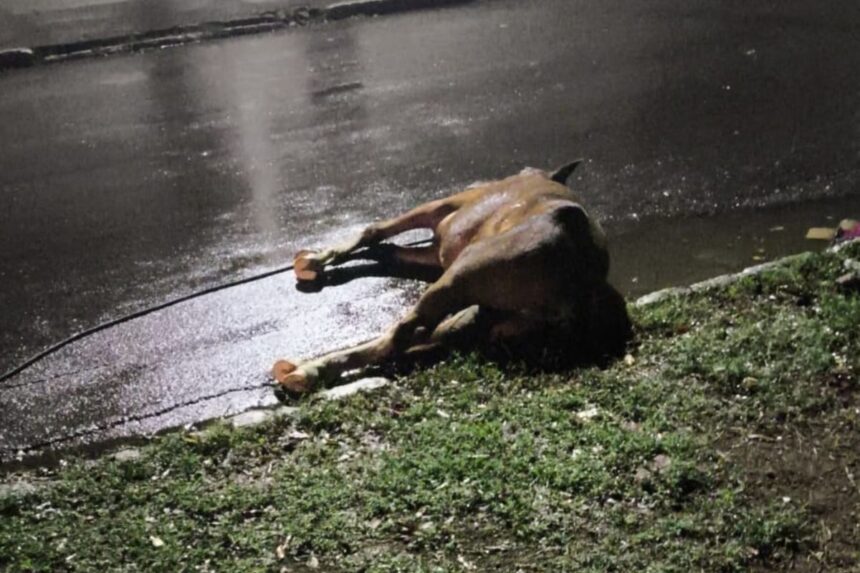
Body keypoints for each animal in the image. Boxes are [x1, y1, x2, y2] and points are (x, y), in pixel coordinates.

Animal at [274, 161, 632, 394]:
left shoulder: (445, 207)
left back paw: (307, 370)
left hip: (461, 274)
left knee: (400, 334)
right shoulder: (437, 252)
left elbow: (375, 231)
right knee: (425, 333)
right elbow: (386, 251)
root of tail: (575, 294)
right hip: (482, 313)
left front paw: (315, 259)